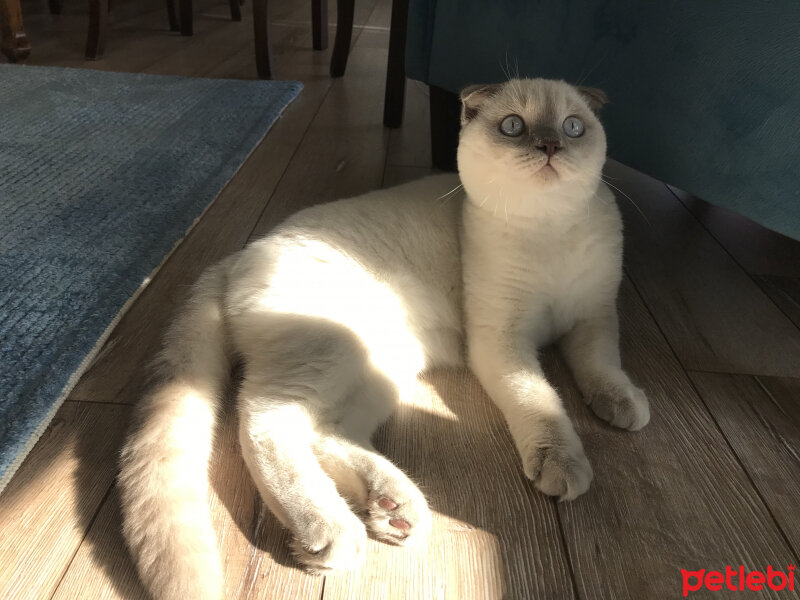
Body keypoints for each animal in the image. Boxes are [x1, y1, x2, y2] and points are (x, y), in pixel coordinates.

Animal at [119, 79, 648, 600]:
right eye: (513, 127)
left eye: (573, 127)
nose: (550, 145)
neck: (549, 231)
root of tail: (235, 257)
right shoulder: (504, 341)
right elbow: (542, 402)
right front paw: (564, 463)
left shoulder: (595, 317)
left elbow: (603, 368)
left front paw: (623, 405)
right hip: (334, 351)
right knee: (264, 419)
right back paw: (332, 530)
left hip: (384, 362)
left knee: (324, 429)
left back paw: (393, 507)